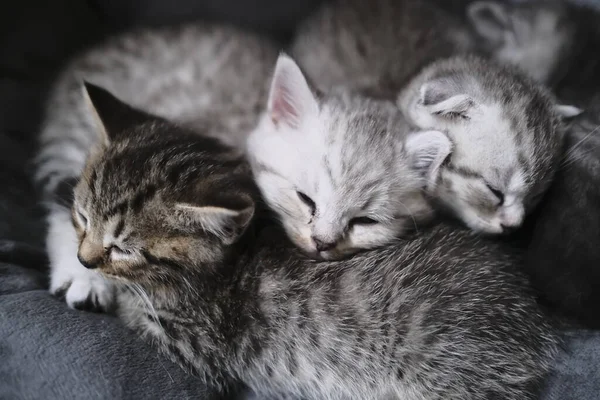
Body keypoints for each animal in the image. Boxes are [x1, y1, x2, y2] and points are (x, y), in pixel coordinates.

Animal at [82, 79, 560, 398]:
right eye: (81, 217)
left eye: (124, 248)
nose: (85, 259)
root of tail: (531, 318)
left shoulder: (199, 348)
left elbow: (133, 309)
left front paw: (106, 286)